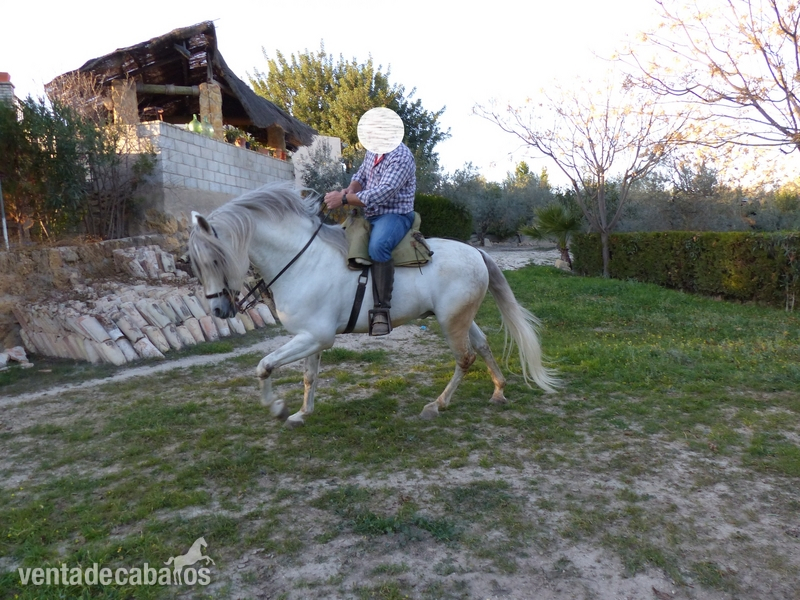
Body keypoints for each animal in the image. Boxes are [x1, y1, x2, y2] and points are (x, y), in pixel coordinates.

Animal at [188, 182, 558, 427]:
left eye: (214, 260)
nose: (218, 311)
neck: (302, 260)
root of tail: (477, 252)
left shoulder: (316, 337)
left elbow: (264, 365)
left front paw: (276, 408)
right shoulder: (310, 337)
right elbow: (309, 376)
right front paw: (301, 413)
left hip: (451, 322)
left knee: (465, 358)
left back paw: (437, 405)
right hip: (460, 317)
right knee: (482, 347)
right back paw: (498, 391)